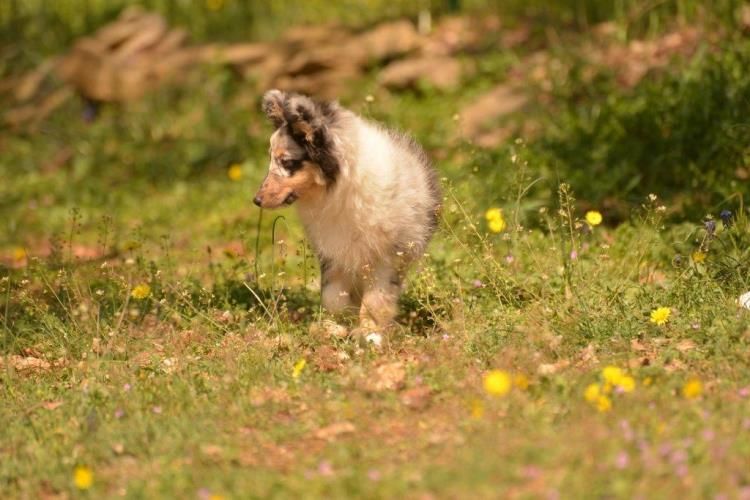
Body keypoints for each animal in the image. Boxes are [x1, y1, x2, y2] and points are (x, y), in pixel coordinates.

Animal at [254, 90, 440, 332]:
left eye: (286, 162)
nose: (256, 200)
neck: (341, 186)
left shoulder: (386, 256)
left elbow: (375, 300)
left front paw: (370, 333)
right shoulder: (334, 252)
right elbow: (333, 296)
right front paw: (339, 325)